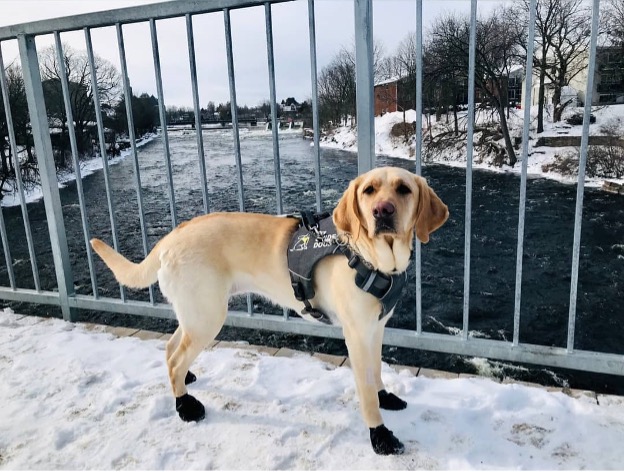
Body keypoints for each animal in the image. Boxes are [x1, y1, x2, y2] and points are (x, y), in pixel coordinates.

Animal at [90, 168, 446, 456]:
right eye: (369, 190)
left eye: (403, 189)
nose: (382, 211)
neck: (371, 260)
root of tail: (169, 237)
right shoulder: (357, 335)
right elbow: (366, 391)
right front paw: (380, 436)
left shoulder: (376, 328)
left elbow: (377, 370)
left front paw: (385, 396)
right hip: (207, 315)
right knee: (176, 357)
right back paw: (185, 405)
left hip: (195, 312)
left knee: (170, 347)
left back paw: (184, 380)